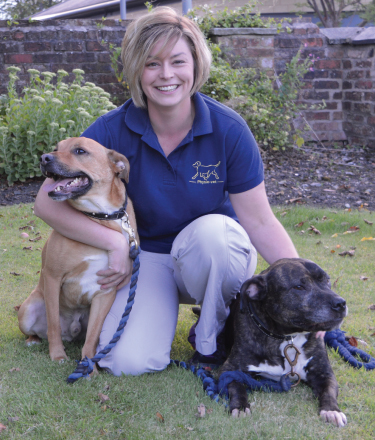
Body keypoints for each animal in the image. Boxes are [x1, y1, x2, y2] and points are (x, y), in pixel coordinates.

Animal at [17, 138, 138, 364]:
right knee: (40, 330)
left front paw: (89, 365)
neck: (101, 217)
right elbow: (53, 324)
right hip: (27, 312)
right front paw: (57, 355)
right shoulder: (53, 277)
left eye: (80, 151)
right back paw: (33, 340)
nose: (44, 158)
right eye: (56, 149)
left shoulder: (105, 292)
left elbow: (92, 337)